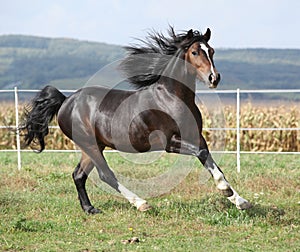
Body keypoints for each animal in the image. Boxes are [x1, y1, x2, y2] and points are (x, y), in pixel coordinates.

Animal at [19, 27, 252, 213]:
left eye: (211, 51)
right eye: (195, 52)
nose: (214, 78)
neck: (171, 97)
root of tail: (66, 100)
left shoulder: (196, 137)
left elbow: (209, 159)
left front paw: (240, 200)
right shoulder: (170, 143)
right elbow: (203, 155)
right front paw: (226, 190)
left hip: (94, 145)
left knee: (78, 175)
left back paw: (90, 209)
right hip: (90, 145)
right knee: (105, 175)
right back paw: (141, 204)